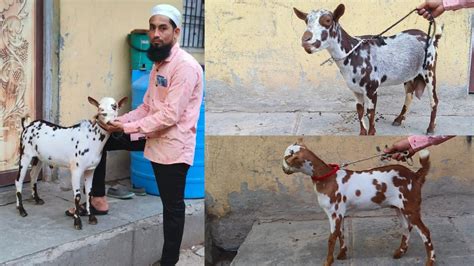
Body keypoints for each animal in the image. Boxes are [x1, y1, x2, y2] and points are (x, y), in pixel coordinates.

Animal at [15, 96, 127, 230]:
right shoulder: (76, 170)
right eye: (100, 108)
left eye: (115, 106)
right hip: (25, 155)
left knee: (33, 176)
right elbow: (77, 196)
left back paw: (36, 199)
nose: (106, 117)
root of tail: (28, 126)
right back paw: (21, 209)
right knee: (19, 180)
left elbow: (89, 193)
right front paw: (77, 221)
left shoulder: (90, 170)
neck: (91, 137)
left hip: (39, 158)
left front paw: (91, 217)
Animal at [284, 139, 436, 266]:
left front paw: (328, 261)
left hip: (410, 207)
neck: (327, 178)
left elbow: (332, 238)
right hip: (400, 208)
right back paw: (400, 252)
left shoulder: (334, 213)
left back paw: (430, 261)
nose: (283, 169)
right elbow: (340, 233)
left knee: (425, 232)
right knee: (406, 227)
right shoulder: (340, 213)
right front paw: (342, 254)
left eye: (286, 159)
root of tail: (415, 175)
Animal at [294, 4, 442, 135]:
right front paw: (362, 133)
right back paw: (399, 120)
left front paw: (371, 133)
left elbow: (370, 113)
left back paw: (430, 128)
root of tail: (431, 37)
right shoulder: (355, 90)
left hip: (429, 69)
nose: (306, 40)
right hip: (409, 74)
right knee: (409, 95)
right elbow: (360, 111)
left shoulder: (371, 89)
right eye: (306, 20)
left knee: (434, 99)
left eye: (327, 20)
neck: (353, 52)